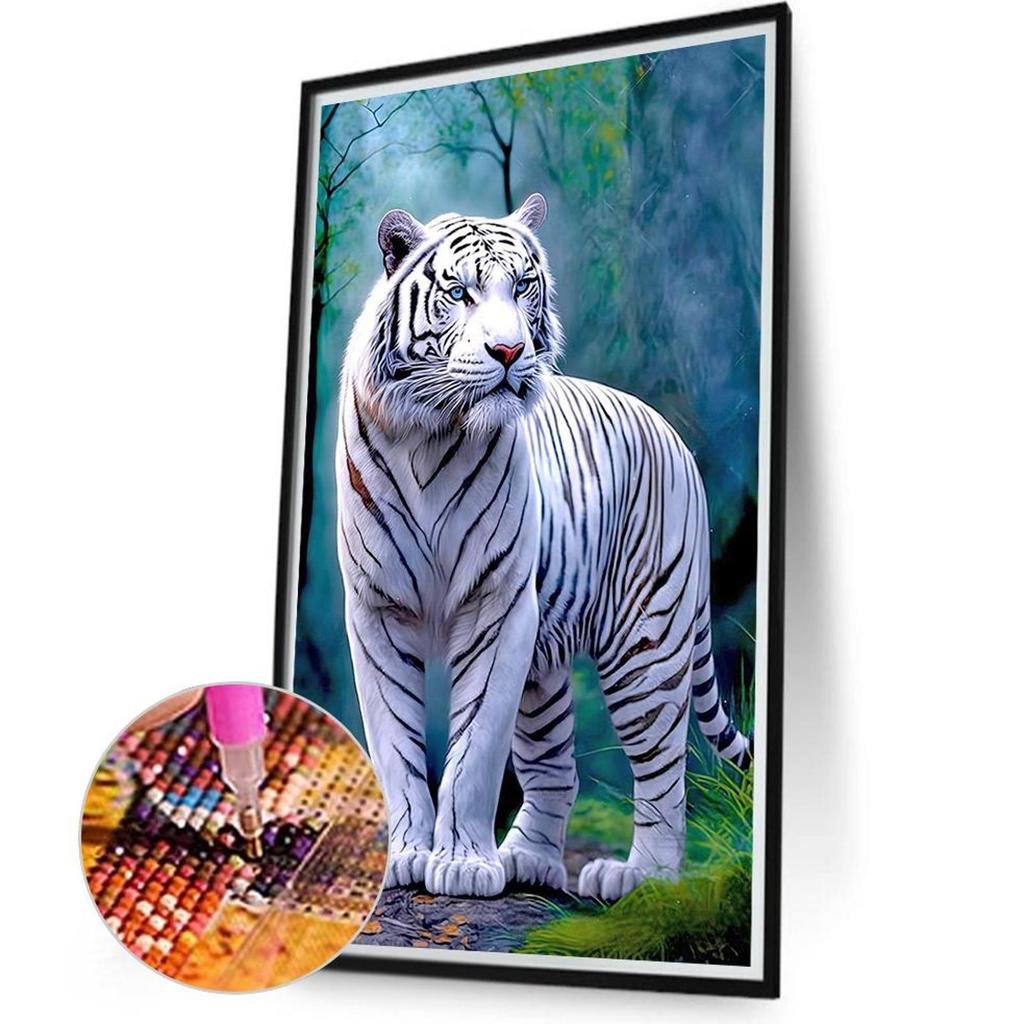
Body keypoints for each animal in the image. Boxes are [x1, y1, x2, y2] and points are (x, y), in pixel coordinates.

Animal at [336, 192, 751, 900]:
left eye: (523, 286)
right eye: (460, 292)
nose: (509, 351)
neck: (430, 431)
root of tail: (675, 438)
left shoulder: (498, 605)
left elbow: (475, 747)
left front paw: (462, 867)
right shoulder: (377, 608)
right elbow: (394, 744)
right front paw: (406, 859)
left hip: (646, 642)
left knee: (663, 769)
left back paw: (640, 879)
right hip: (543, 663)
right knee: (557, 766)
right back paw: (525, 861)